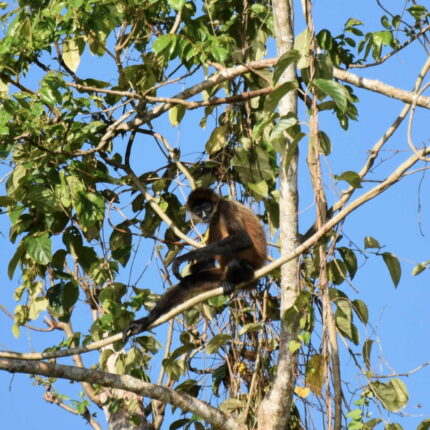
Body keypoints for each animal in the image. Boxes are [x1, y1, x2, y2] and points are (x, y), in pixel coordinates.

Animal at [122, 186, 268, 340]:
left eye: (207, 207)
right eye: (198, 210)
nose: (204, 215)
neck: (217, 210)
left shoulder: (226, 208)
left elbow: (243, 239)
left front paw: (183, 258)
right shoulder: (213, 220)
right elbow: (207, 262)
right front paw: (194, 266)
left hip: (249, 268)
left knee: (235, 264)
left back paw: (231, 281)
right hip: (218, 273)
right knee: (188, 283)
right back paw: (146, 320)